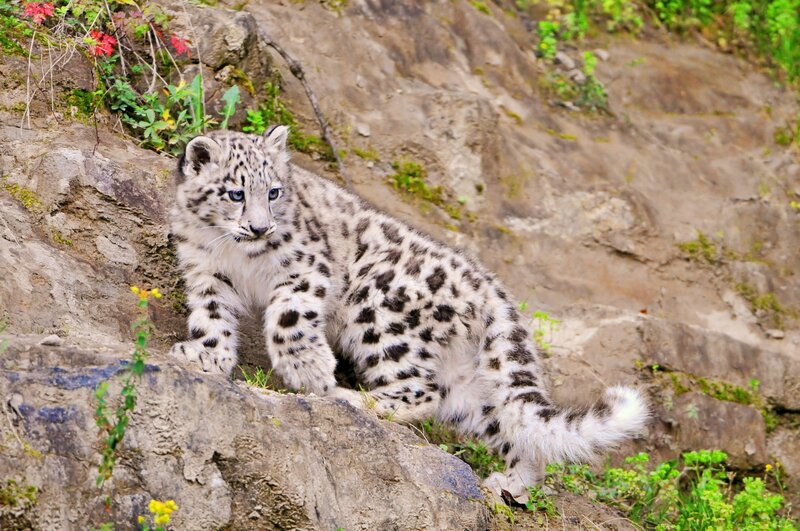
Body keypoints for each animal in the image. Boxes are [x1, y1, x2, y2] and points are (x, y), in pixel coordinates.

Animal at [169, 126, 648, 500]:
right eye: (235, 193)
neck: (235, 254)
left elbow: (290, 318)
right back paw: (510, 484)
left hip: (378, 310)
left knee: (420, 390)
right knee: (506, 424)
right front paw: (206, 355)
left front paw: (309, 370)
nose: (260, 227)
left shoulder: (305, 268)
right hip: (468, 384)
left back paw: (351, 398)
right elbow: (211, 315)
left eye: (273, 191)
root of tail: (489, 285)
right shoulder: (206, 272)